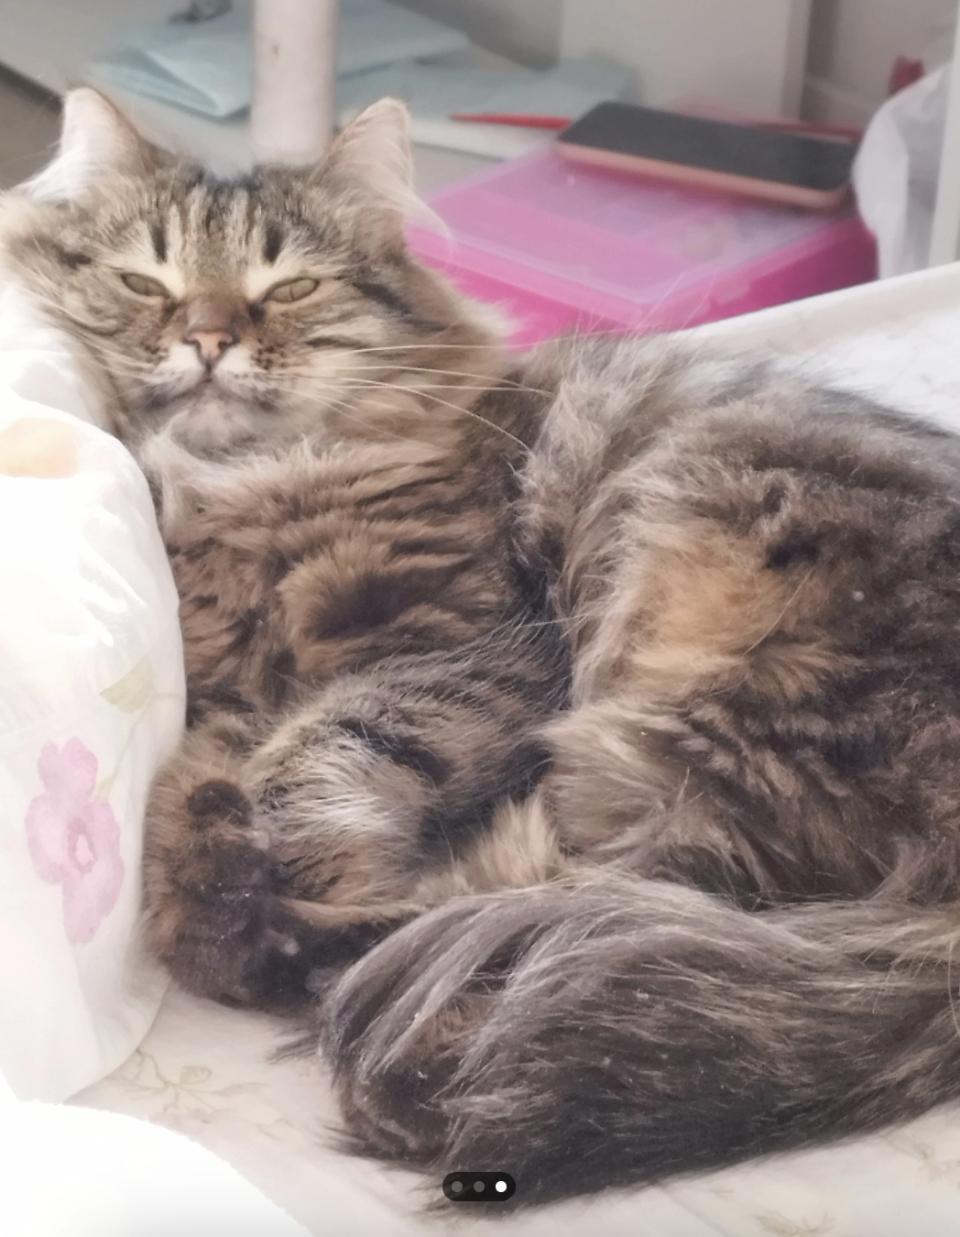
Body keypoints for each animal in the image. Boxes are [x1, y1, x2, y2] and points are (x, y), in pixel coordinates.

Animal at [5, 89, 959, 1207]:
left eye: (289, 288)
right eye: (145, 281)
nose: (206, 337)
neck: (246, 488)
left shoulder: (481, 640)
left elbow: (327, 744)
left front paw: (273, 868)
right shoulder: (236, 691)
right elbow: (187, 791)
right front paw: (211, 881)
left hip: (696, 679)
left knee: (623, 886)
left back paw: (372, 984)